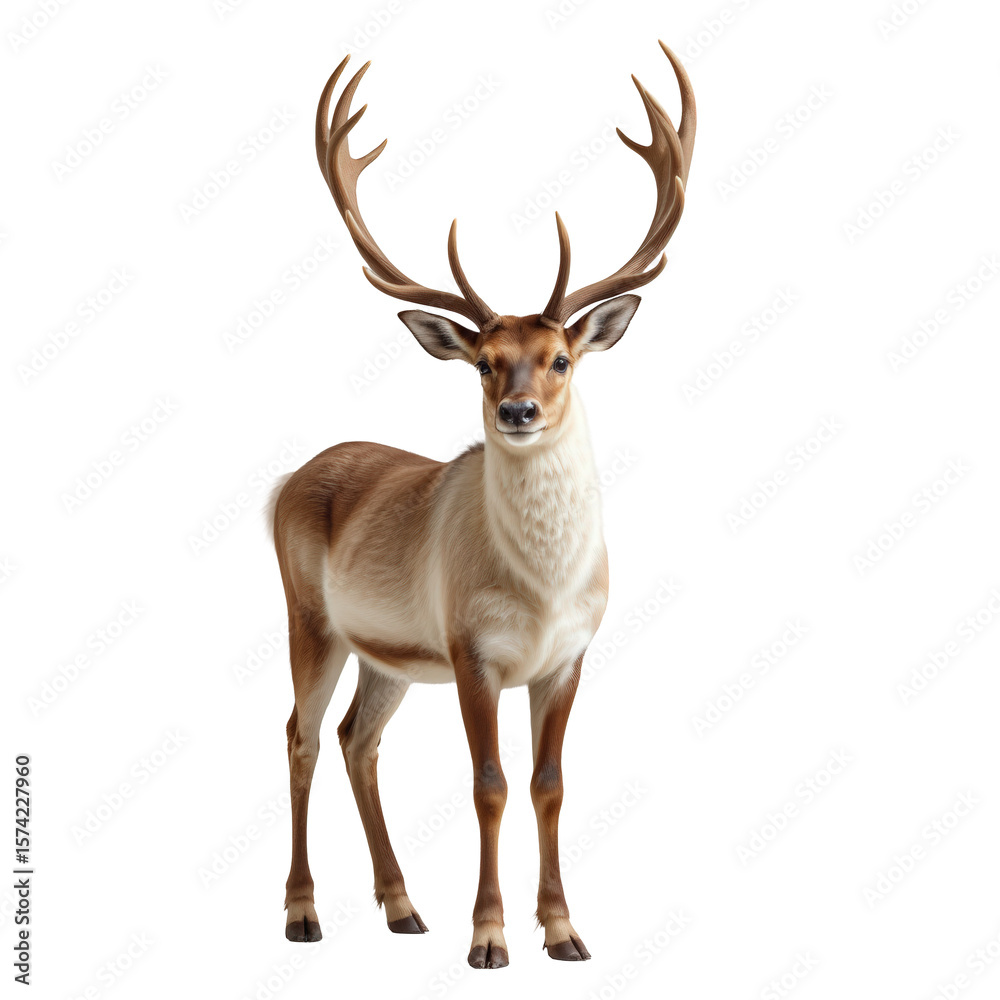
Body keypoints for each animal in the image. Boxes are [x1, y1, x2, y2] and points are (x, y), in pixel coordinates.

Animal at [270, 40, 695, 969]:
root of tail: (284, 482)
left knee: (359, 738)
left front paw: (565, 930)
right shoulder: (472, 649)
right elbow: (490, 785)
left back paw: (401, 907)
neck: (540, 593)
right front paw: (490, 935)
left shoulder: (570, 655)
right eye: (482, 364)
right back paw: (303, 912)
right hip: (307, 614)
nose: (519, 411)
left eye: (561, 357)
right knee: (301, 735)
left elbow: (550, 784)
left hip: (388, 654)